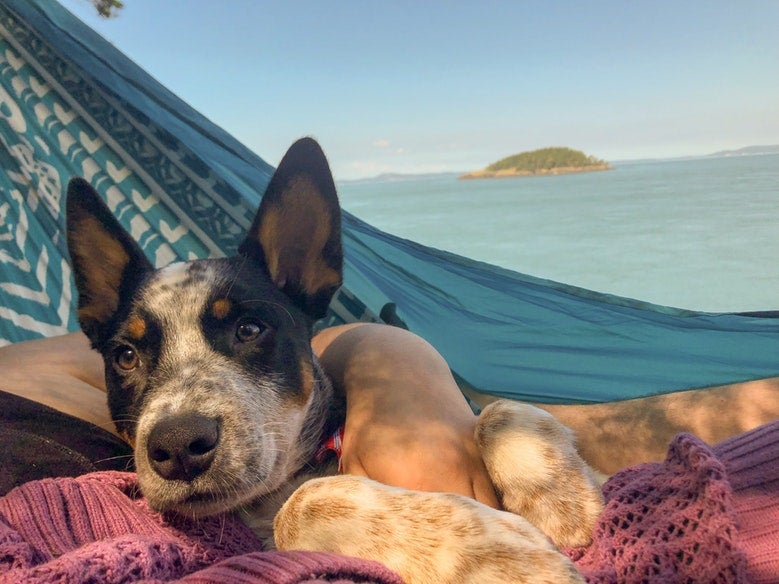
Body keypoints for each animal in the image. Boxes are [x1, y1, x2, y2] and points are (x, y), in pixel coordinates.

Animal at [67, 138, 604, 584]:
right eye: (126, 356)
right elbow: (302, 504)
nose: (178, 445)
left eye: (249, 329)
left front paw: (563, 501)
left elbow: (498, 410)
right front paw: (485, 556)